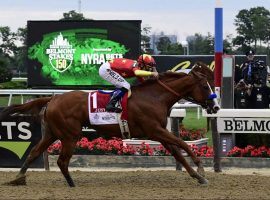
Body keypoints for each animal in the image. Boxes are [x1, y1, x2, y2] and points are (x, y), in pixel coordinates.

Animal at [1, 62, 219, 186]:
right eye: (204, 85)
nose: (215, 106)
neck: (155, 96)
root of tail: (52, 98)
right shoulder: (155, 130)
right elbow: (182, 145)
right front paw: (201, 167)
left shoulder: (158, 133)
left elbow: (178, 154)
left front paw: (198, 177)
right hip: (70, 135)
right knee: (62, 161)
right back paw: (71, 183)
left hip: (51, 133)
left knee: (34, 153)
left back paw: (18, 178)